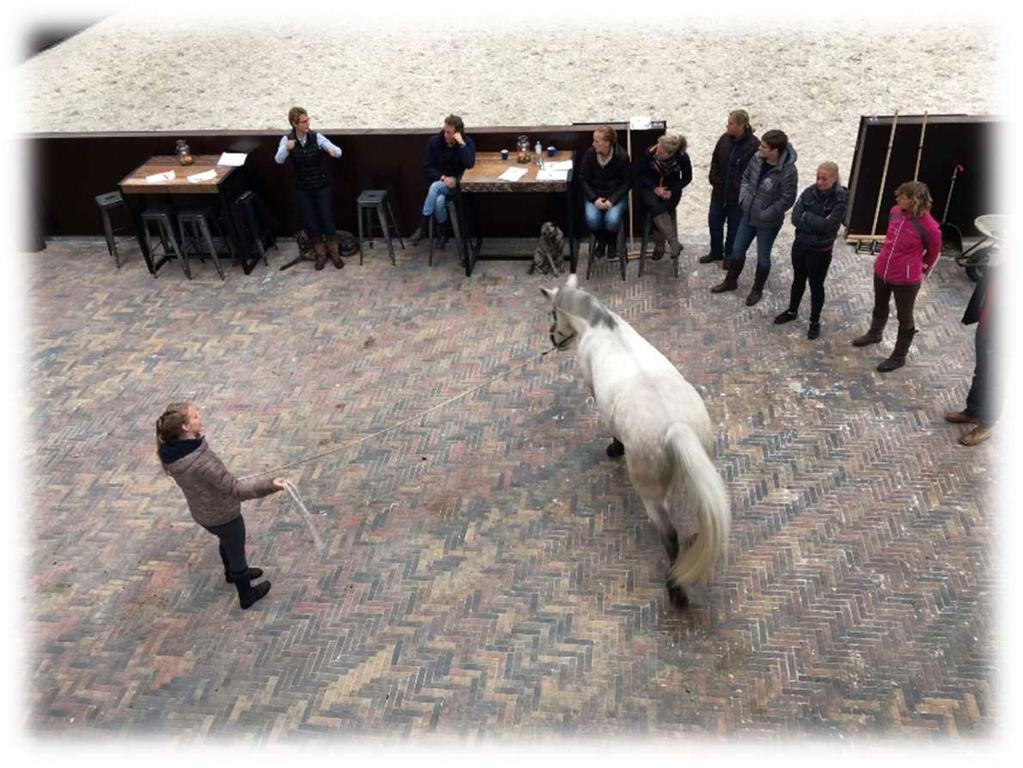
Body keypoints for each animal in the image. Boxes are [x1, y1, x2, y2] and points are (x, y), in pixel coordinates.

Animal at [544, 274, 728, 609]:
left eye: (553, 312)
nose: (554, 339)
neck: (603, 327)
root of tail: (676, 428)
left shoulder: (592, 386)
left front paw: (615, 448)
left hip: (651, 496)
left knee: (671, 537)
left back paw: (675, 590)